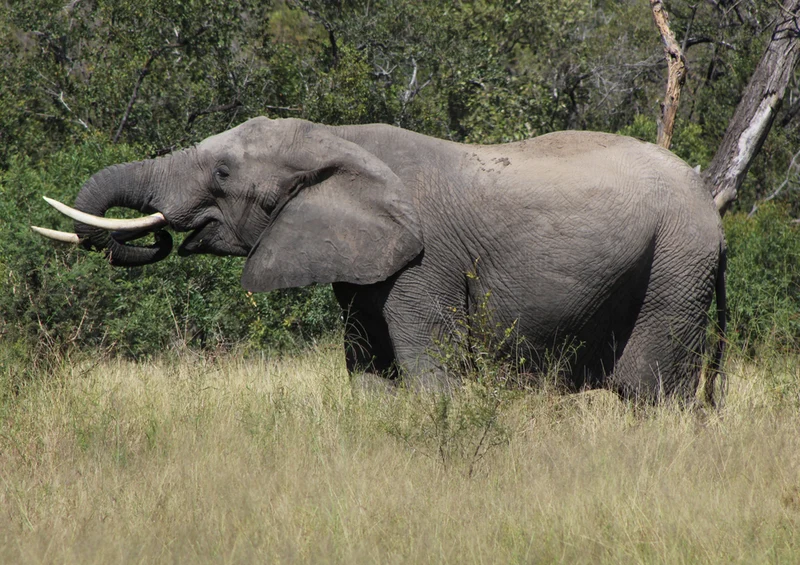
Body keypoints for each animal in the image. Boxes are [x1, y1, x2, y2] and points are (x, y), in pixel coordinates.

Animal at [34, 117, 726, 403]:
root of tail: (714, 212)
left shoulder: (425, 263)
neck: (336, 139)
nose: (160, 233)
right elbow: (367, 373)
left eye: (224, 173)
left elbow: (428, 372)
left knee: (649, 393)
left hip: (674, 268)